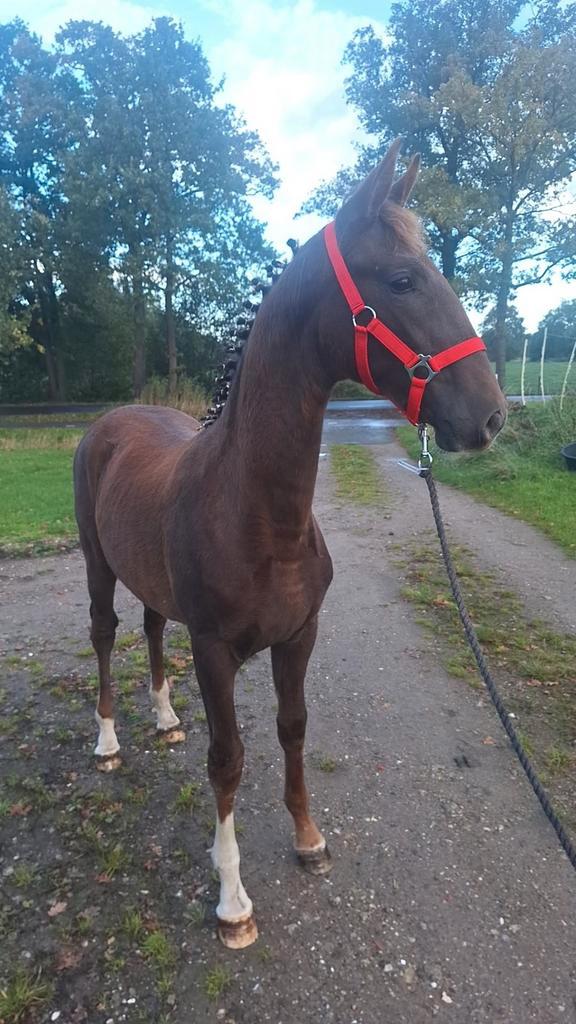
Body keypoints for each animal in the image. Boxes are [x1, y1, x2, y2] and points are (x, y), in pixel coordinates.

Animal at [73, 140, 506, 949]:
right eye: (402, 279)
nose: (491, 417)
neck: (260, 518)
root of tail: (112, 420)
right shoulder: (214, 651)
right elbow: (228, 760)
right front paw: (232, 900)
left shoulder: (300, 636)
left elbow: (294, 730)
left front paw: (309, 840)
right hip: (96, 565)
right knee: (107, 633)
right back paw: (110, 742)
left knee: (150, 627)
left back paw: (165, 720)